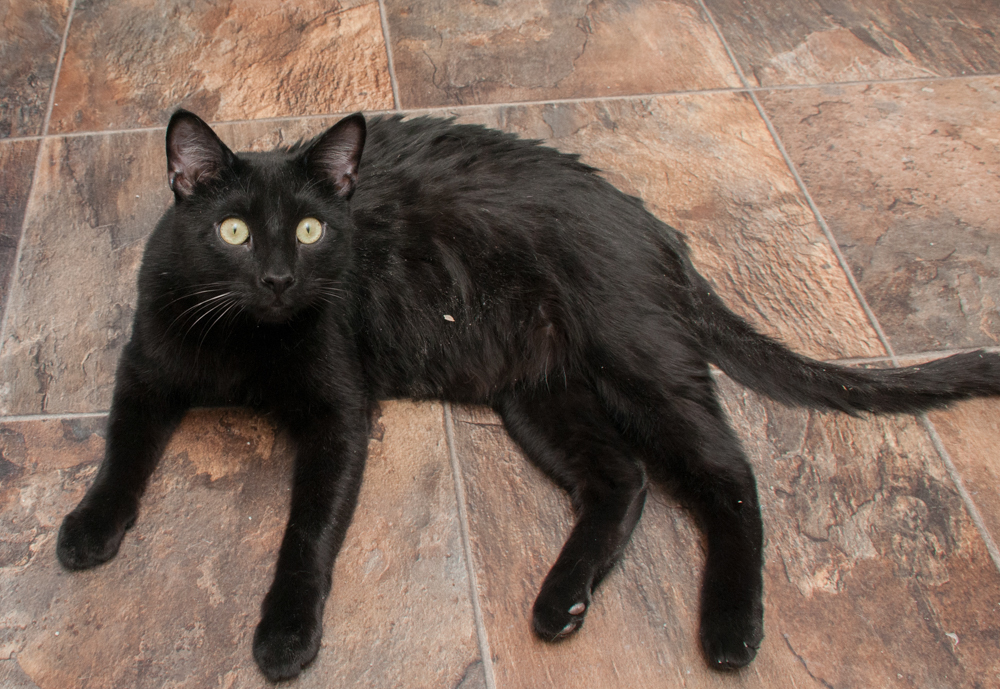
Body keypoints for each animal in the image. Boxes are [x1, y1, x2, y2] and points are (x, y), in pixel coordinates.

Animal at [54, 110, 1000, 680]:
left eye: (315, 230)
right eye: (234, 231)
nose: (281, 278)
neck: (245, 341)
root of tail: (655, 227)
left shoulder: (340, 415)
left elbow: (307, 532)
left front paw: (286, 632)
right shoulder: (144, 370)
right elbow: (119, 453)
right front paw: (88, 529)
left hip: (637, 362)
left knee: (728, 471)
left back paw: (731, 625)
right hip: (538, 395)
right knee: (623, 480)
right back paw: (560, 601)